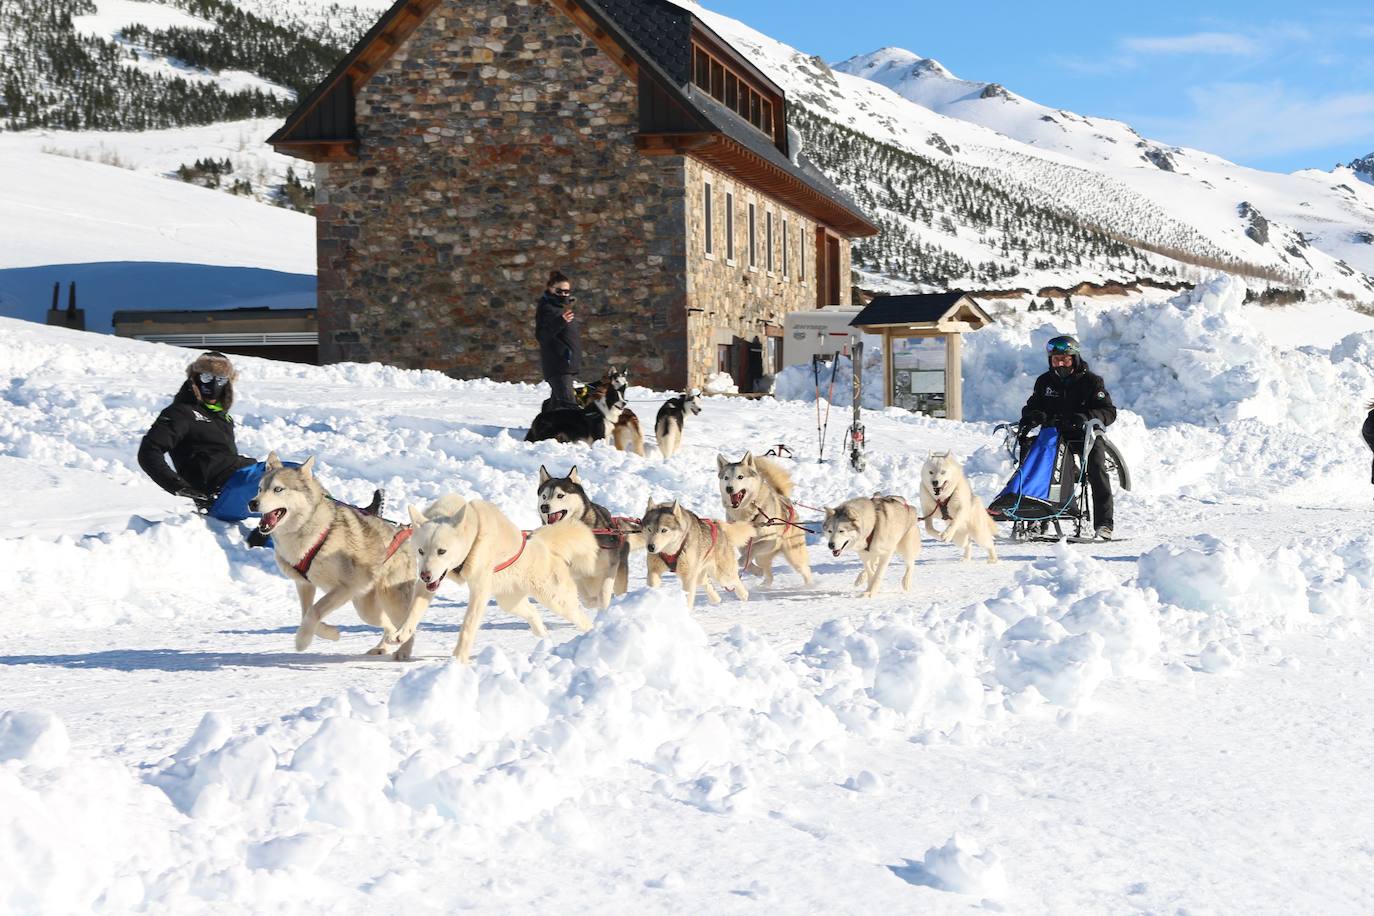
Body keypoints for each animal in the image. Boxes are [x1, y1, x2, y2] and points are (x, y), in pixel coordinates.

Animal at [247, 455, 417, 661]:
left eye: (278, 489)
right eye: (259, 489)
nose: (252, 503)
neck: (308, 533)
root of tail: (404, 533)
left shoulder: (345, 588)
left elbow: (314, 611)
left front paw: (302, 641)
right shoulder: (304, 584)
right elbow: (306, 613)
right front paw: (330, 633)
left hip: (390, 598)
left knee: (408, 625)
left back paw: (403, 650)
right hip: (365, 607)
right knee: (388, 624)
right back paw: (384, 645)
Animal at [390, 497, 599, 661]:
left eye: (442, 551)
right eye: (421, 551)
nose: (425, 575)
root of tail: (540, 544)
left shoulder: (480, 591)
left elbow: (468, 626)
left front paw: (458, 659)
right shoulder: (427, 585)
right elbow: (413, 612)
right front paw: (401, 634)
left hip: (556, 601)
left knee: (582, 619)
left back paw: (592, 637)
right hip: (509, 602)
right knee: (533, 613)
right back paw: (544, 637)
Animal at [541, 466, 637, 609]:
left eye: (560, 495)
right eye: (544, 496)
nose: (544, 507)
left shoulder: (611, 565)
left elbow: (604, 593)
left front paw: (603, 608)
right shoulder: (576, 574)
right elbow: (588, 599)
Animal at [714, 450, 807, 587]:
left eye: (740, 477)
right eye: (726, 477)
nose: (729, 488)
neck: (747, 515)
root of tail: (784, 499)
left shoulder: (771, 540)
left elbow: (748, 554)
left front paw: (743, 563)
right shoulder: (743, 544)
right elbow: (746, 556)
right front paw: (756, 571)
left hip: (793, 554)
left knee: (804, 570)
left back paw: (811, 585)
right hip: (765, 557)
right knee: (767, 571)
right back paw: (765, 583)